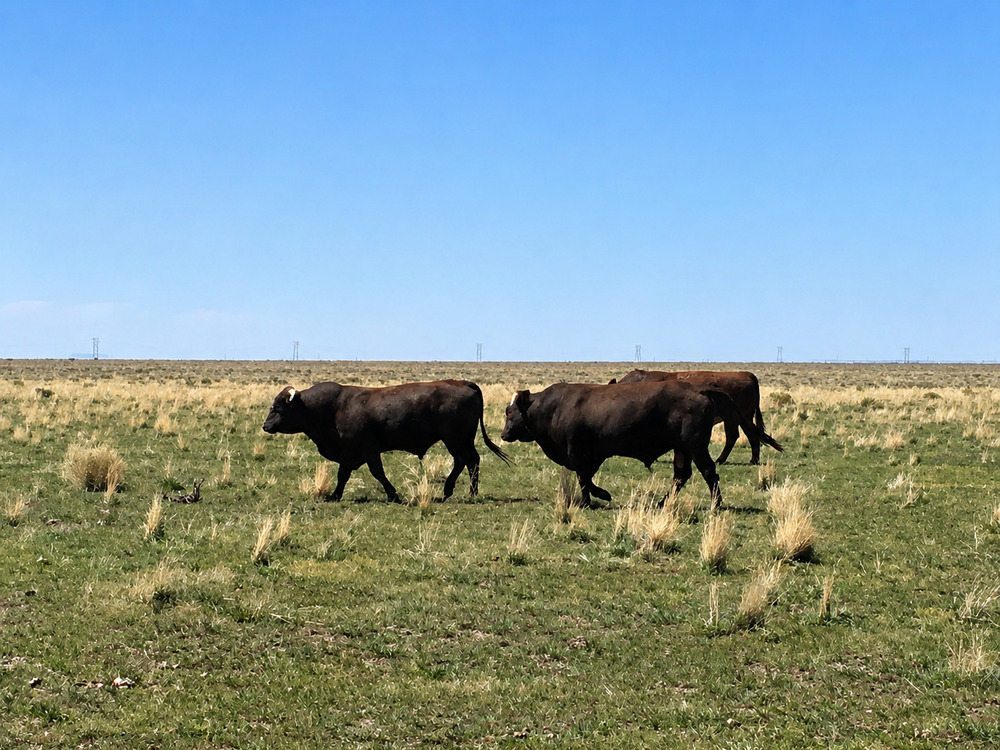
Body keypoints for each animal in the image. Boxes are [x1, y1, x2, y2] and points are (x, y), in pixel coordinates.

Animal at [262, 380, 509, 502]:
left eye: (277, 408)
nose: (265, 426)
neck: (332, 407)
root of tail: (464, 383)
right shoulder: (350, 454)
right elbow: (343, 475)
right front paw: (335, 495)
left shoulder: (368, 451)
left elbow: (377, 473)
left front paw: (393, 494)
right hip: (461, 440)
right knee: (468, 461)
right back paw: (459, 491)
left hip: (455, 440)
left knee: (466, 460)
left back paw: (457, 492)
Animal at [501, 380, 782, 510]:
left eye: (510, 413)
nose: (503, 434)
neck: (554, 407)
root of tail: (700, 389)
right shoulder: (591, 455)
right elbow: (586, 478)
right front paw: (595, 497)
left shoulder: (579, 452)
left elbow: (584, 479)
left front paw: (596, 498)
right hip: (681, 449)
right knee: (682, 475)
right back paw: (663, 502)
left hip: (695, 446)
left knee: (709, 472)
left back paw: (716, 504)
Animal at [611, 369, 770, 465]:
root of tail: (746, 374)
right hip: (741, 419)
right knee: (750, 436)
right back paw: (752, 459)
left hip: (735, 418)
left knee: (734, 437)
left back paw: (723, 459)